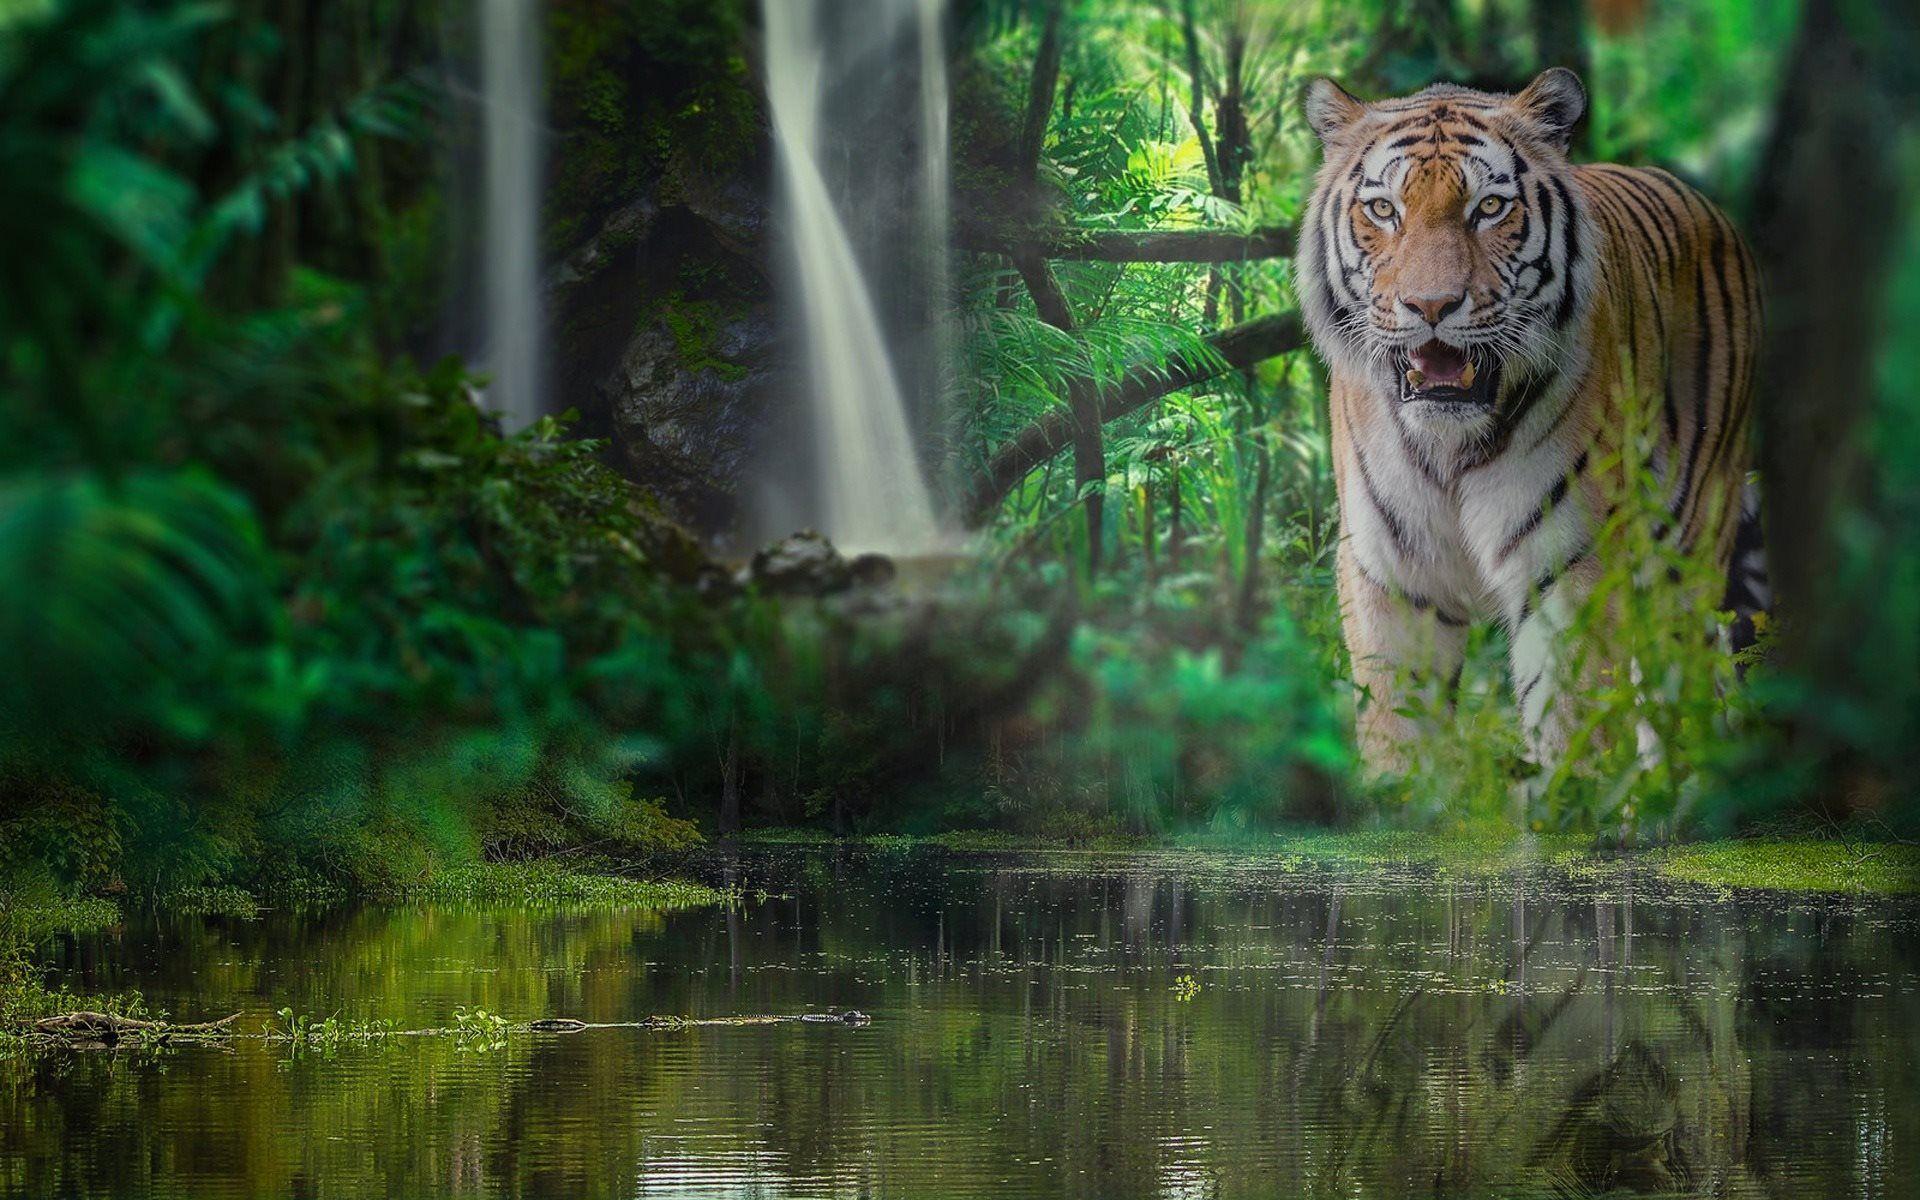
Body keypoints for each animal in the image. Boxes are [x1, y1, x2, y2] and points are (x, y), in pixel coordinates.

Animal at [1293, 68, 1763, 772]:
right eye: (1383, 210)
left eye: (1489, 208)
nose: (1430, 306)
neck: (1449, 445)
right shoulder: (1390, 575)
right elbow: (1397, 738)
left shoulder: (1567, 569)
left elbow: (1573, 732)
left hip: (1685, 552)